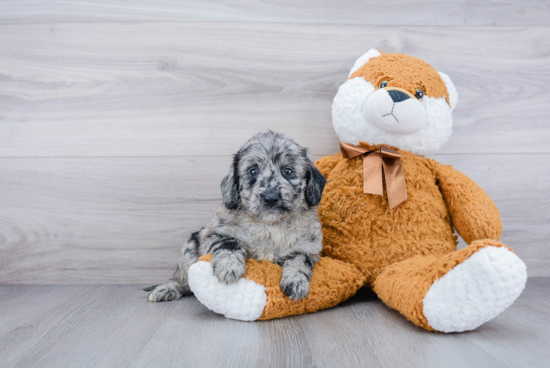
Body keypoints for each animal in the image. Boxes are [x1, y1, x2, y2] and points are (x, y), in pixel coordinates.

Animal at [146, 131, 328, 304]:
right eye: (253, 170)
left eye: (288, 171)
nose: (270, 197)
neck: (269, 226)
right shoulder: (215, 233)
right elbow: (230, 243)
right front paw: (229, 267)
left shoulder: (308, 247)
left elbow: (299, 260)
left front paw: (296, 282)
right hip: (189, 250)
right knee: (181, 281)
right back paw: (167, 289)